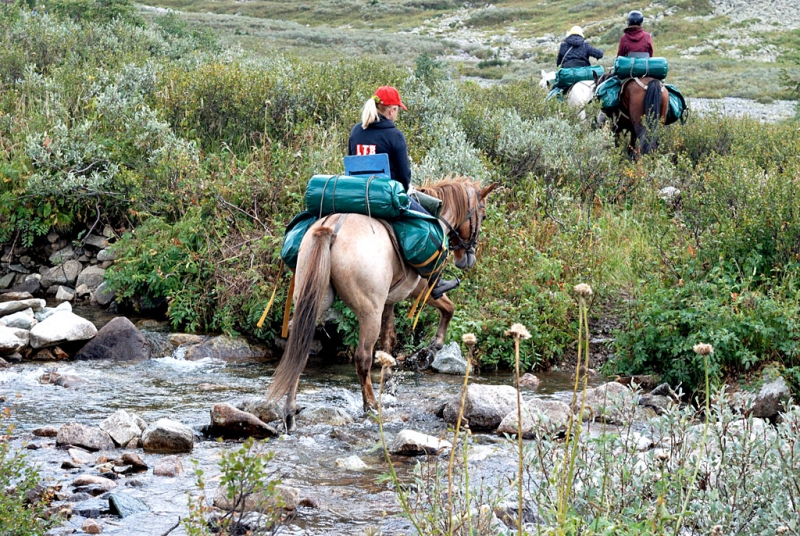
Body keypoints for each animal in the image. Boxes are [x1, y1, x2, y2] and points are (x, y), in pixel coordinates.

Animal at [266, 178, 496, 430]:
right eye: (483, 215)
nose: (468, 258)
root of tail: (332, 228)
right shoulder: (420, 289)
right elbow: (448, 309)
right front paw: (429, 351)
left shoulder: (388, 302)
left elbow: (388, 341)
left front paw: (390, 384)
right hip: (369, 311)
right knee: (362, 358)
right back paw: (371, 407)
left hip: (312, 301)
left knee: (299, 348)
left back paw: (290, 413)